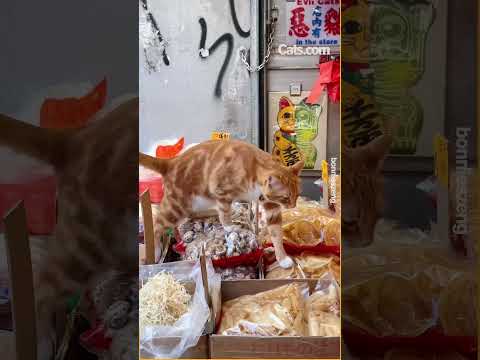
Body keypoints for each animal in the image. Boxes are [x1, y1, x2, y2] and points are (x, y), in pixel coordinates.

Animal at [140, 139, 304, 268]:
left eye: (297, 195)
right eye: (285, 198)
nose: (293, 206)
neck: (254, 168)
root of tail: (170, 162)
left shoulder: (271, 207)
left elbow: (277, 234)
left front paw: (282, 258)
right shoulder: (221, 191)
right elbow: (224, 213)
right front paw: (229, 226)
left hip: (198, 201)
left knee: (191, 214)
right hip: (177, 207)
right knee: (157, 225)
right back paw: (155, 252)